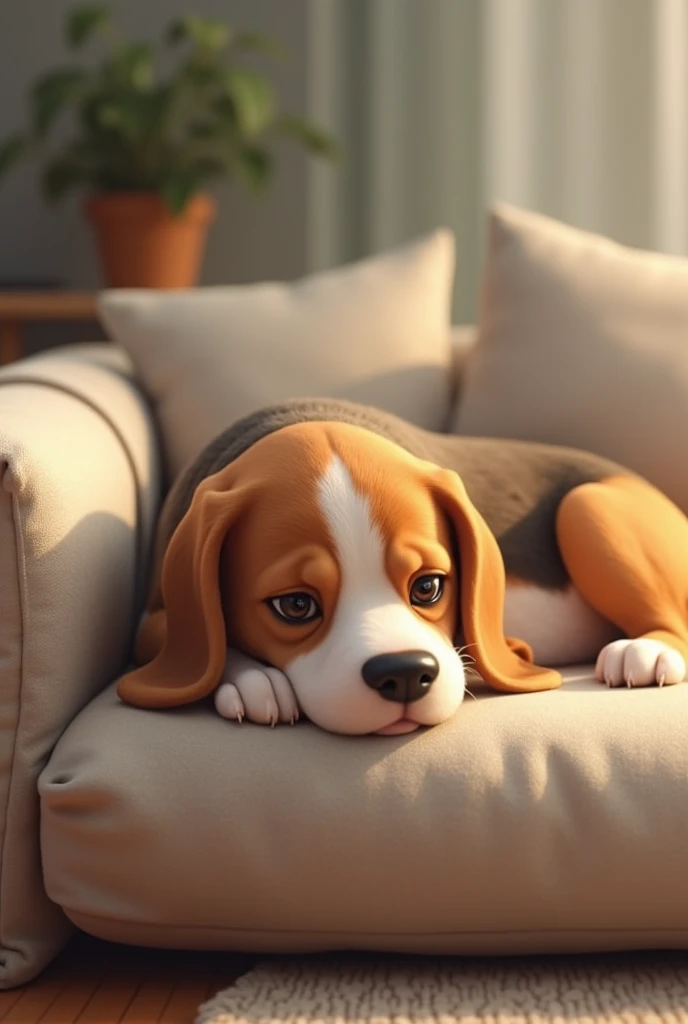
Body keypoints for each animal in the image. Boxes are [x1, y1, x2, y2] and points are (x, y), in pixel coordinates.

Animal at [118, 397, 688, 737]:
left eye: (429, 587)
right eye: (296, 605)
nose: (406, 675)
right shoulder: (149, 620)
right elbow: (199, 644)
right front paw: (255, 677)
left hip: (586, 506)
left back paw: (645, 651)